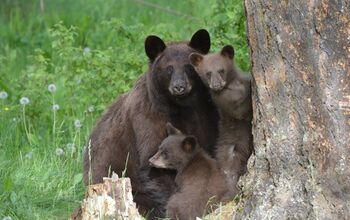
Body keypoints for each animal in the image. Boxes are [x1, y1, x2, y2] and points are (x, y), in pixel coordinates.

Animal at [82, 29, 219, 218]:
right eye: (169, 68)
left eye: (189, 67)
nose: (179, 87)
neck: (185, 107)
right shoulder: (150, 119)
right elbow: (154, 163)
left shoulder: (208, 116)